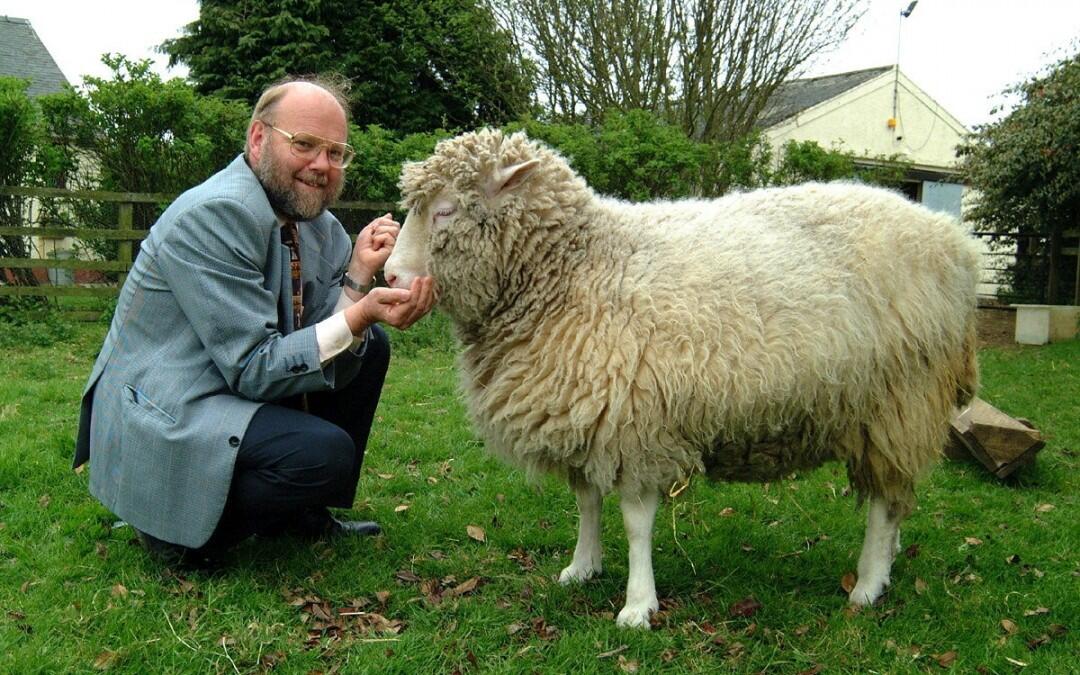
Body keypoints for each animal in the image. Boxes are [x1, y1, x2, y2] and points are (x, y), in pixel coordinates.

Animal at [384, 130, 984, 626]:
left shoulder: (634, 421)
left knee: (884, 501)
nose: (389, 275)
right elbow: (586, 502)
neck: (576, 267)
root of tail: (955, 241)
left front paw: (637, 604)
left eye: (444, 211)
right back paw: (890, 558)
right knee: (896, 495)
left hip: (897, 398)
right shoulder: (584, 410)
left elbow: (635, 522)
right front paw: (583, 567)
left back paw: (868, 582)